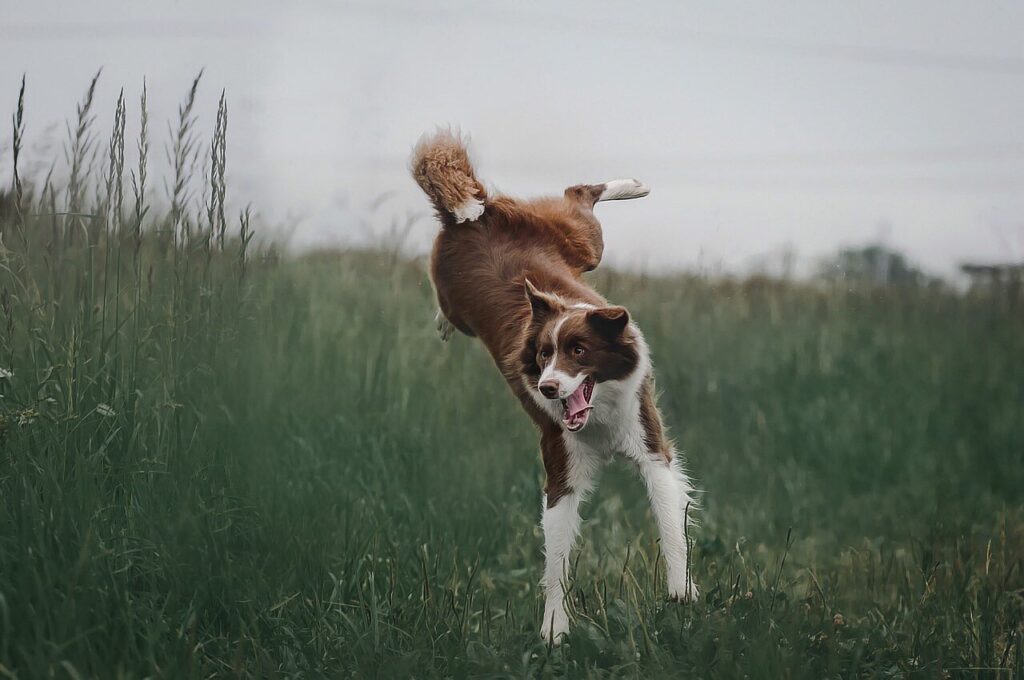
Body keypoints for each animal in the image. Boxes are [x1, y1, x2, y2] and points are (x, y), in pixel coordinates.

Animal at [411, 129, 700, 643]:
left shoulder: (649, 443)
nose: (547, 388)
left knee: (579, 196)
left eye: (579, 351)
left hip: (581, 244)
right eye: (544, 355)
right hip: (482, 284)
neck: (600, 416)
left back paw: (633, 185)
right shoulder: (560, 464)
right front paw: (554, 630)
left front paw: (680, 590)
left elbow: (670, 520)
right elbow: (557, 557)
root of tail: (472, 216)